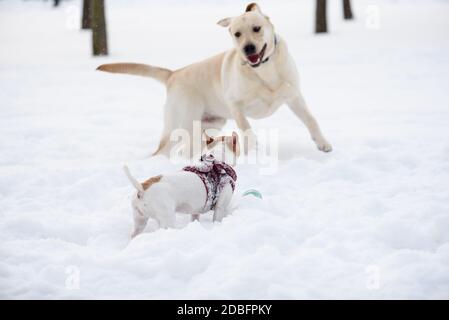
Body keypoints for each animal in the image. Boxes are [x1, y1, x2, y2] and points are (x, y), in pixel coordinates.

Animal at [97, 2, 328, 156]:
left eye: (256, 28)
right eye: (237, 34)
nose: (248, 48)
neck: (264, 69)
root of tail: (174, 73)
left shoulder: (294, 97)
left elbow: (312, 120)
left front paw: (323, 144)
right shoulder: (236, 105)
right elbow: (246, 128)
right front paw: (252, 149)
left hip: (207, 125)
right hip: (182, 123)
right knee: (162, 150)